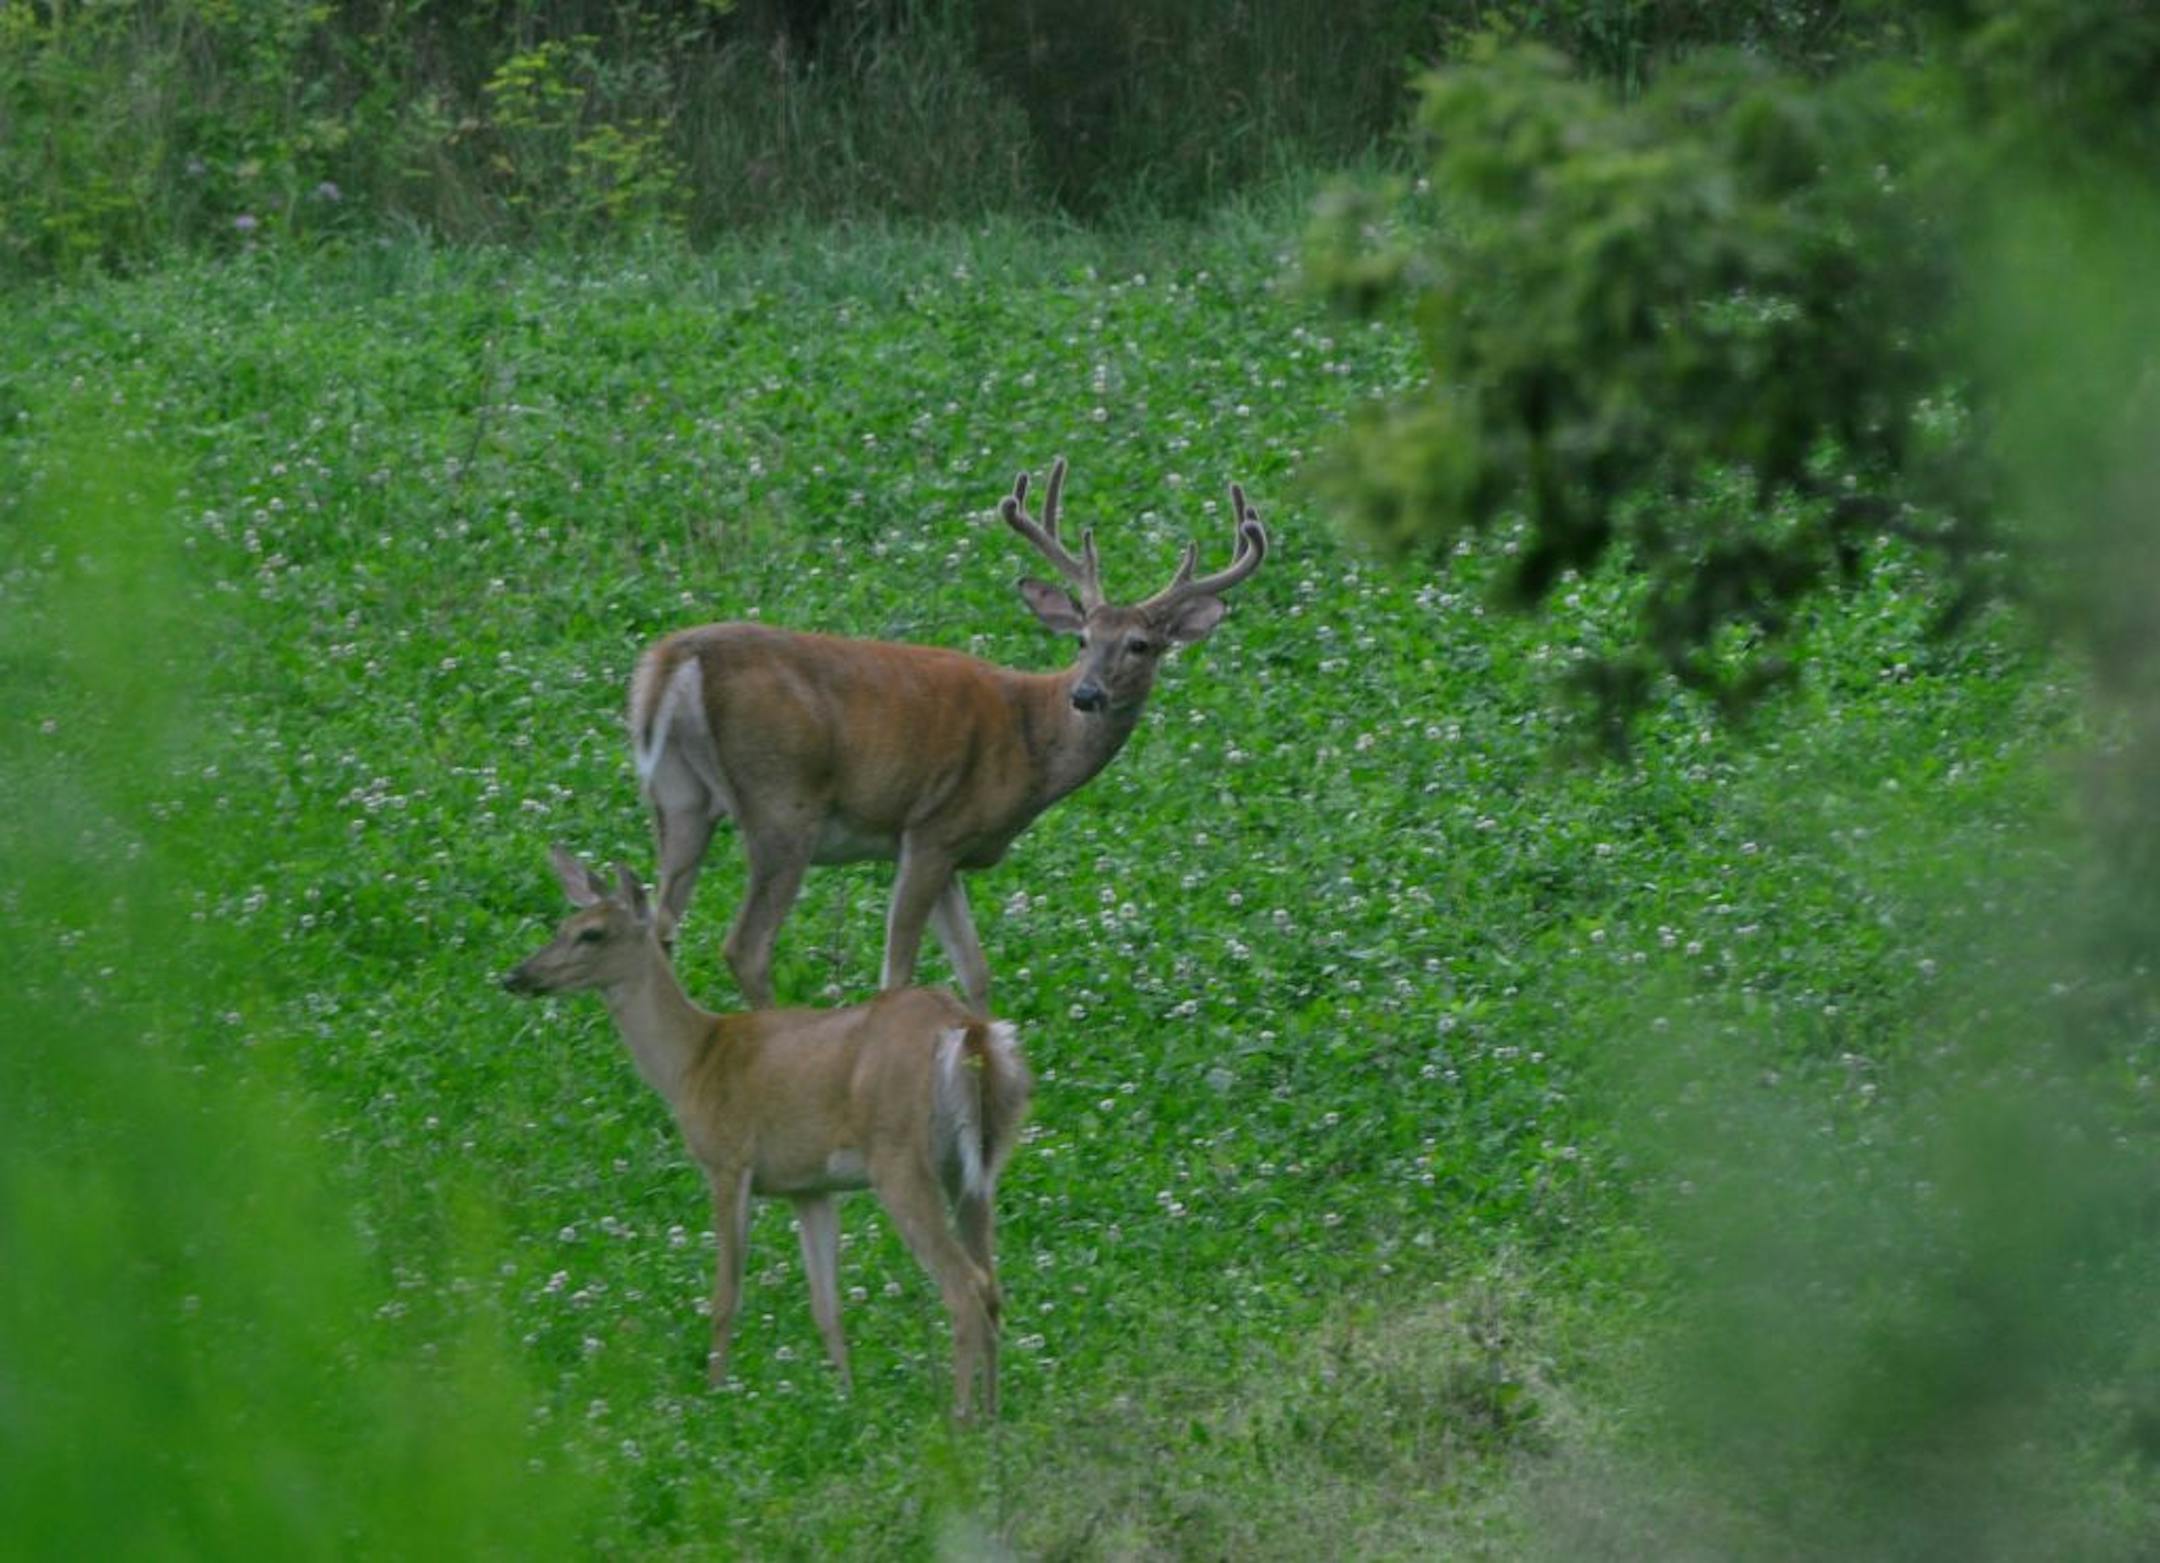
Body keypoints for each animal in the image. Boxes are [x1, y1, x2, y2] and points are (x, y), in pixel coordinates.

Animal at [501, 845, 1031, 1422]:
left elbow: (725, 1295)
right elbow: (827, 1306)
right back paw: (994, 1415)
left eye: (592, 934)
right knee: (993, 1284)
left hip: (900, 1159)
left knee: (964, 1285)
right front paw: (846, 1403)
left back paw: (959, 1420)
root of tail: (968, 1033)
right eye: (562, 925)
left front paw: (713, 1394)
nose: (517, 976)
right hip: (974, 1167)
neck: (692, 1060)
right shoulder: (809, 1187)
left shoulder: (728, 1161)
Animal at [629, 456, 1268, 1012]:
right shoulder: (931, 830)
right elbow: (899, 975)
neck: (1033, 739)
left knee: (658, 926)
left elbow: (976, 973)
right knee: (745, 947)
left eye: (1139, 644)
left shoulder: (953, 848)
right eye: (1083, 639)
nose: (1086, 695)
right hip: (783, 802)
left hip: (679, 797)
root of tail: (676, 660)